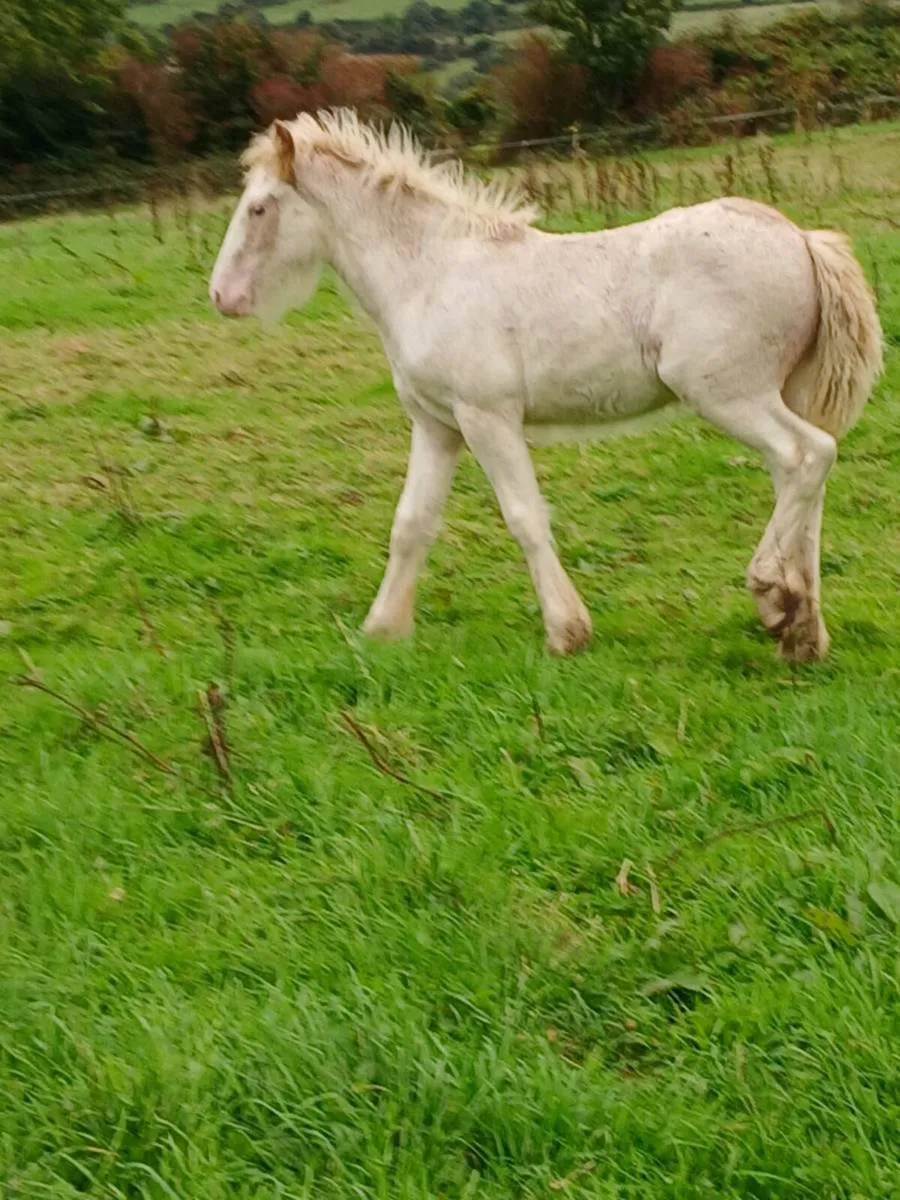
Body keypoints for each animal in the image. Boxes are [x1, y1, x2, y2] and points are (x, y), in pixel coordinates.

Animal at [209, 108, 883, 662]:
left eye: (260, 207)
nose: (221, 295)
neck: (430, 271)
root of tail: (803, 240)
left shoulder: (487, 417)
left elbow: (524, 516)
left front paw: (566, 631)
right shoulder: (437, 424)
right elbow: (412, 522)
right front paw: (382, 628)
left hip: (727, 393)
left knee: (807, 455)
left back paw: (771, 591)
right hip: (777, 393)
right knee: (804, 483)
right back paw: (801, 629)